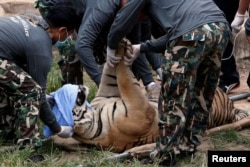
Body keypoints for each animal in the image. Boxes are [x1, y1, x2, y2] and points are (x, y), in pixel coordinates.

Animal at [50, 38, 248, 153]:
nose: (79, 87)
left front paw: (120, 46)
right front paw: (126, 51)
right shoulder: (140, 112)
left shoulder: (106, 93)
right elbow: (125, 79)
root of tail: (231, 106)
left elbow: (111, 70)